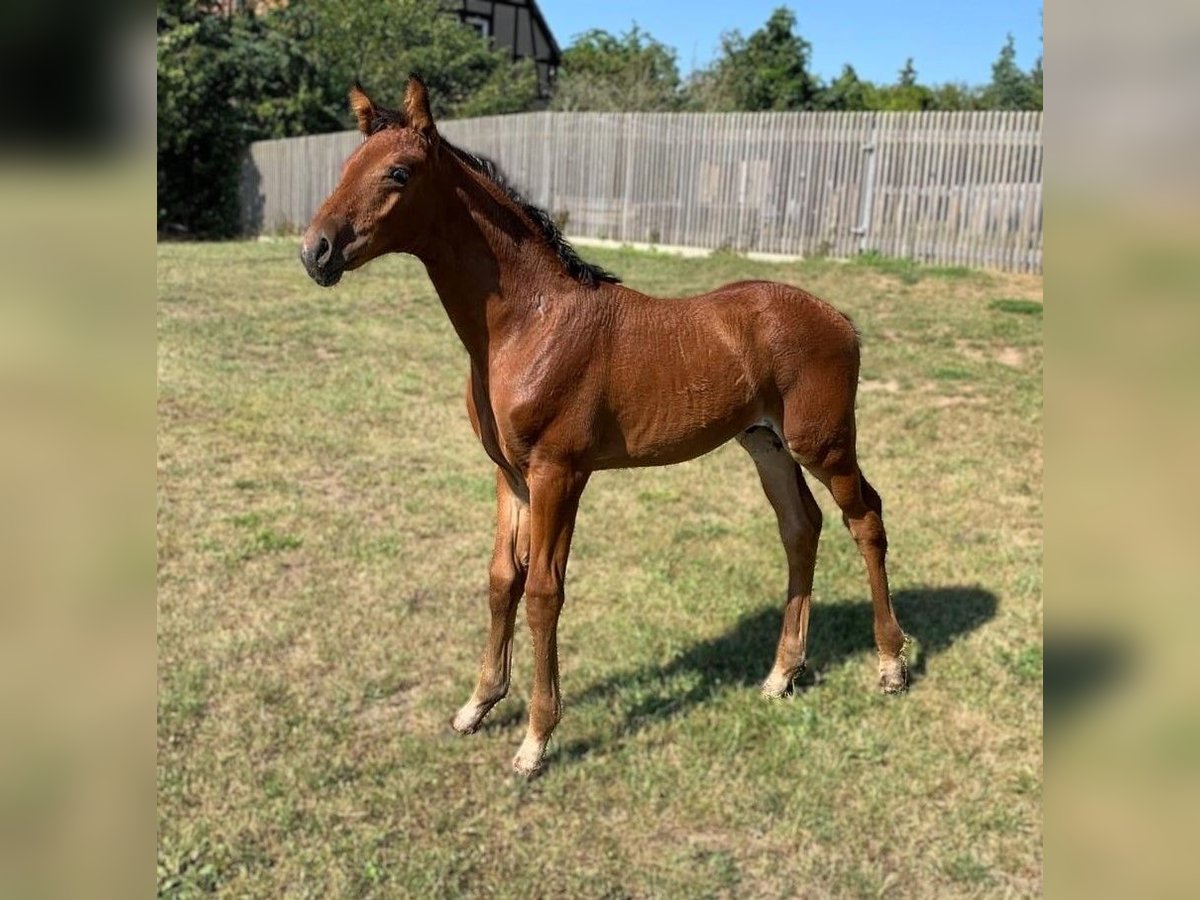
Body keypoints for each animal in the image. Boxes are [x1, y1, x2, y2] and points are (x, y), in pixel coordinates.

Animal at [302, 81, 907, 777]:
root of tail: (840, 319)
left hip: (823, 443)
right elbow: (501, 580)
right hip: (767, 443)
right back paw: (782, 673)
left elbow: (543, 591)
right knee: (800, 527)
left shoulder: (559, 474)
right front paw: (477, 705)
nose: (315, 251)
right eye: (346, 166)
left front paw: (535, 739)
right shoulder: (510, 476)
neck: (529, 324)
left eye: (398, 173)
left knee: (865, 518)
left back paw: (891, 664)